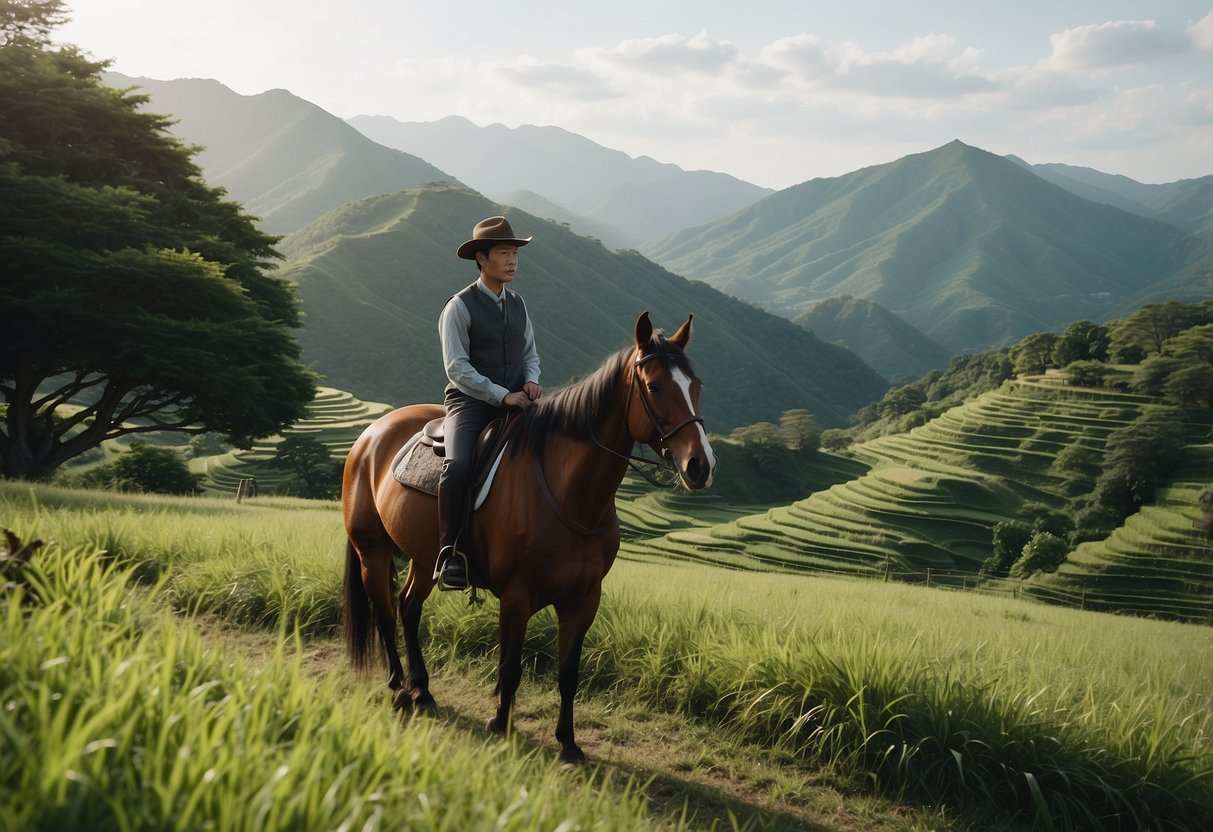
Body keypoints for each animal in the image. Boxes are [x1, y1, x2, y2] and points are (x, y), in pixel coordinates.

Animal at [339, 310, 708, 761]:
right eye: (655, 386)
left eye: (695, 385)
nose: (700, 466)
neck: (570, 494)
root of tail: (371, 433)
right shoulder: (517, 596)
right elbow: (510, 667)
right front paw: (501, 723)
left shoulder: (584, 600)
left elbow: (569, 674)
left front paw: (568, 743)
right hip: (372, 550)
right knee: (387, 613)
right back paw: (397, 687)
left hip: (426, 559)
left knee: (409, 609)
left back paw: (422, 690)